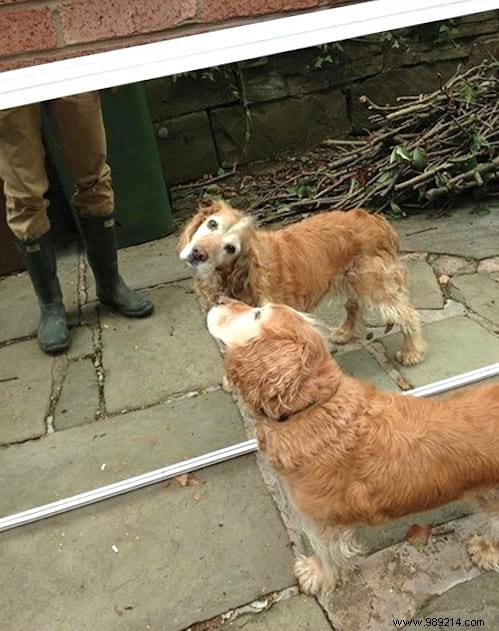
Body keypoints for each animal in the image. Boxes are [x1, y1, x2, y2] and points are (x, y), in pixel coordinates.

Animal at [180, 198, 426, 366]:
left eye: (230, 248)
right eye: (212, 224)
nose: (198, 253)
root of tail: (377, 220)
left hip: (374, 283)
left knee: (406, 314)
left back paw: (411, 352)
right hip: (352, 279)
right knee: (353, 305)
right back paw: (346, 332)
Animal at [206, 298, 499, 596]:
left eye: (257, 314)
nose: (220, 299)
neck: (313, 407)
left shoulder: (322, 522)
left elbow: (327, 554)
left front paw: (316, 575)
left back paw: (486, 551)